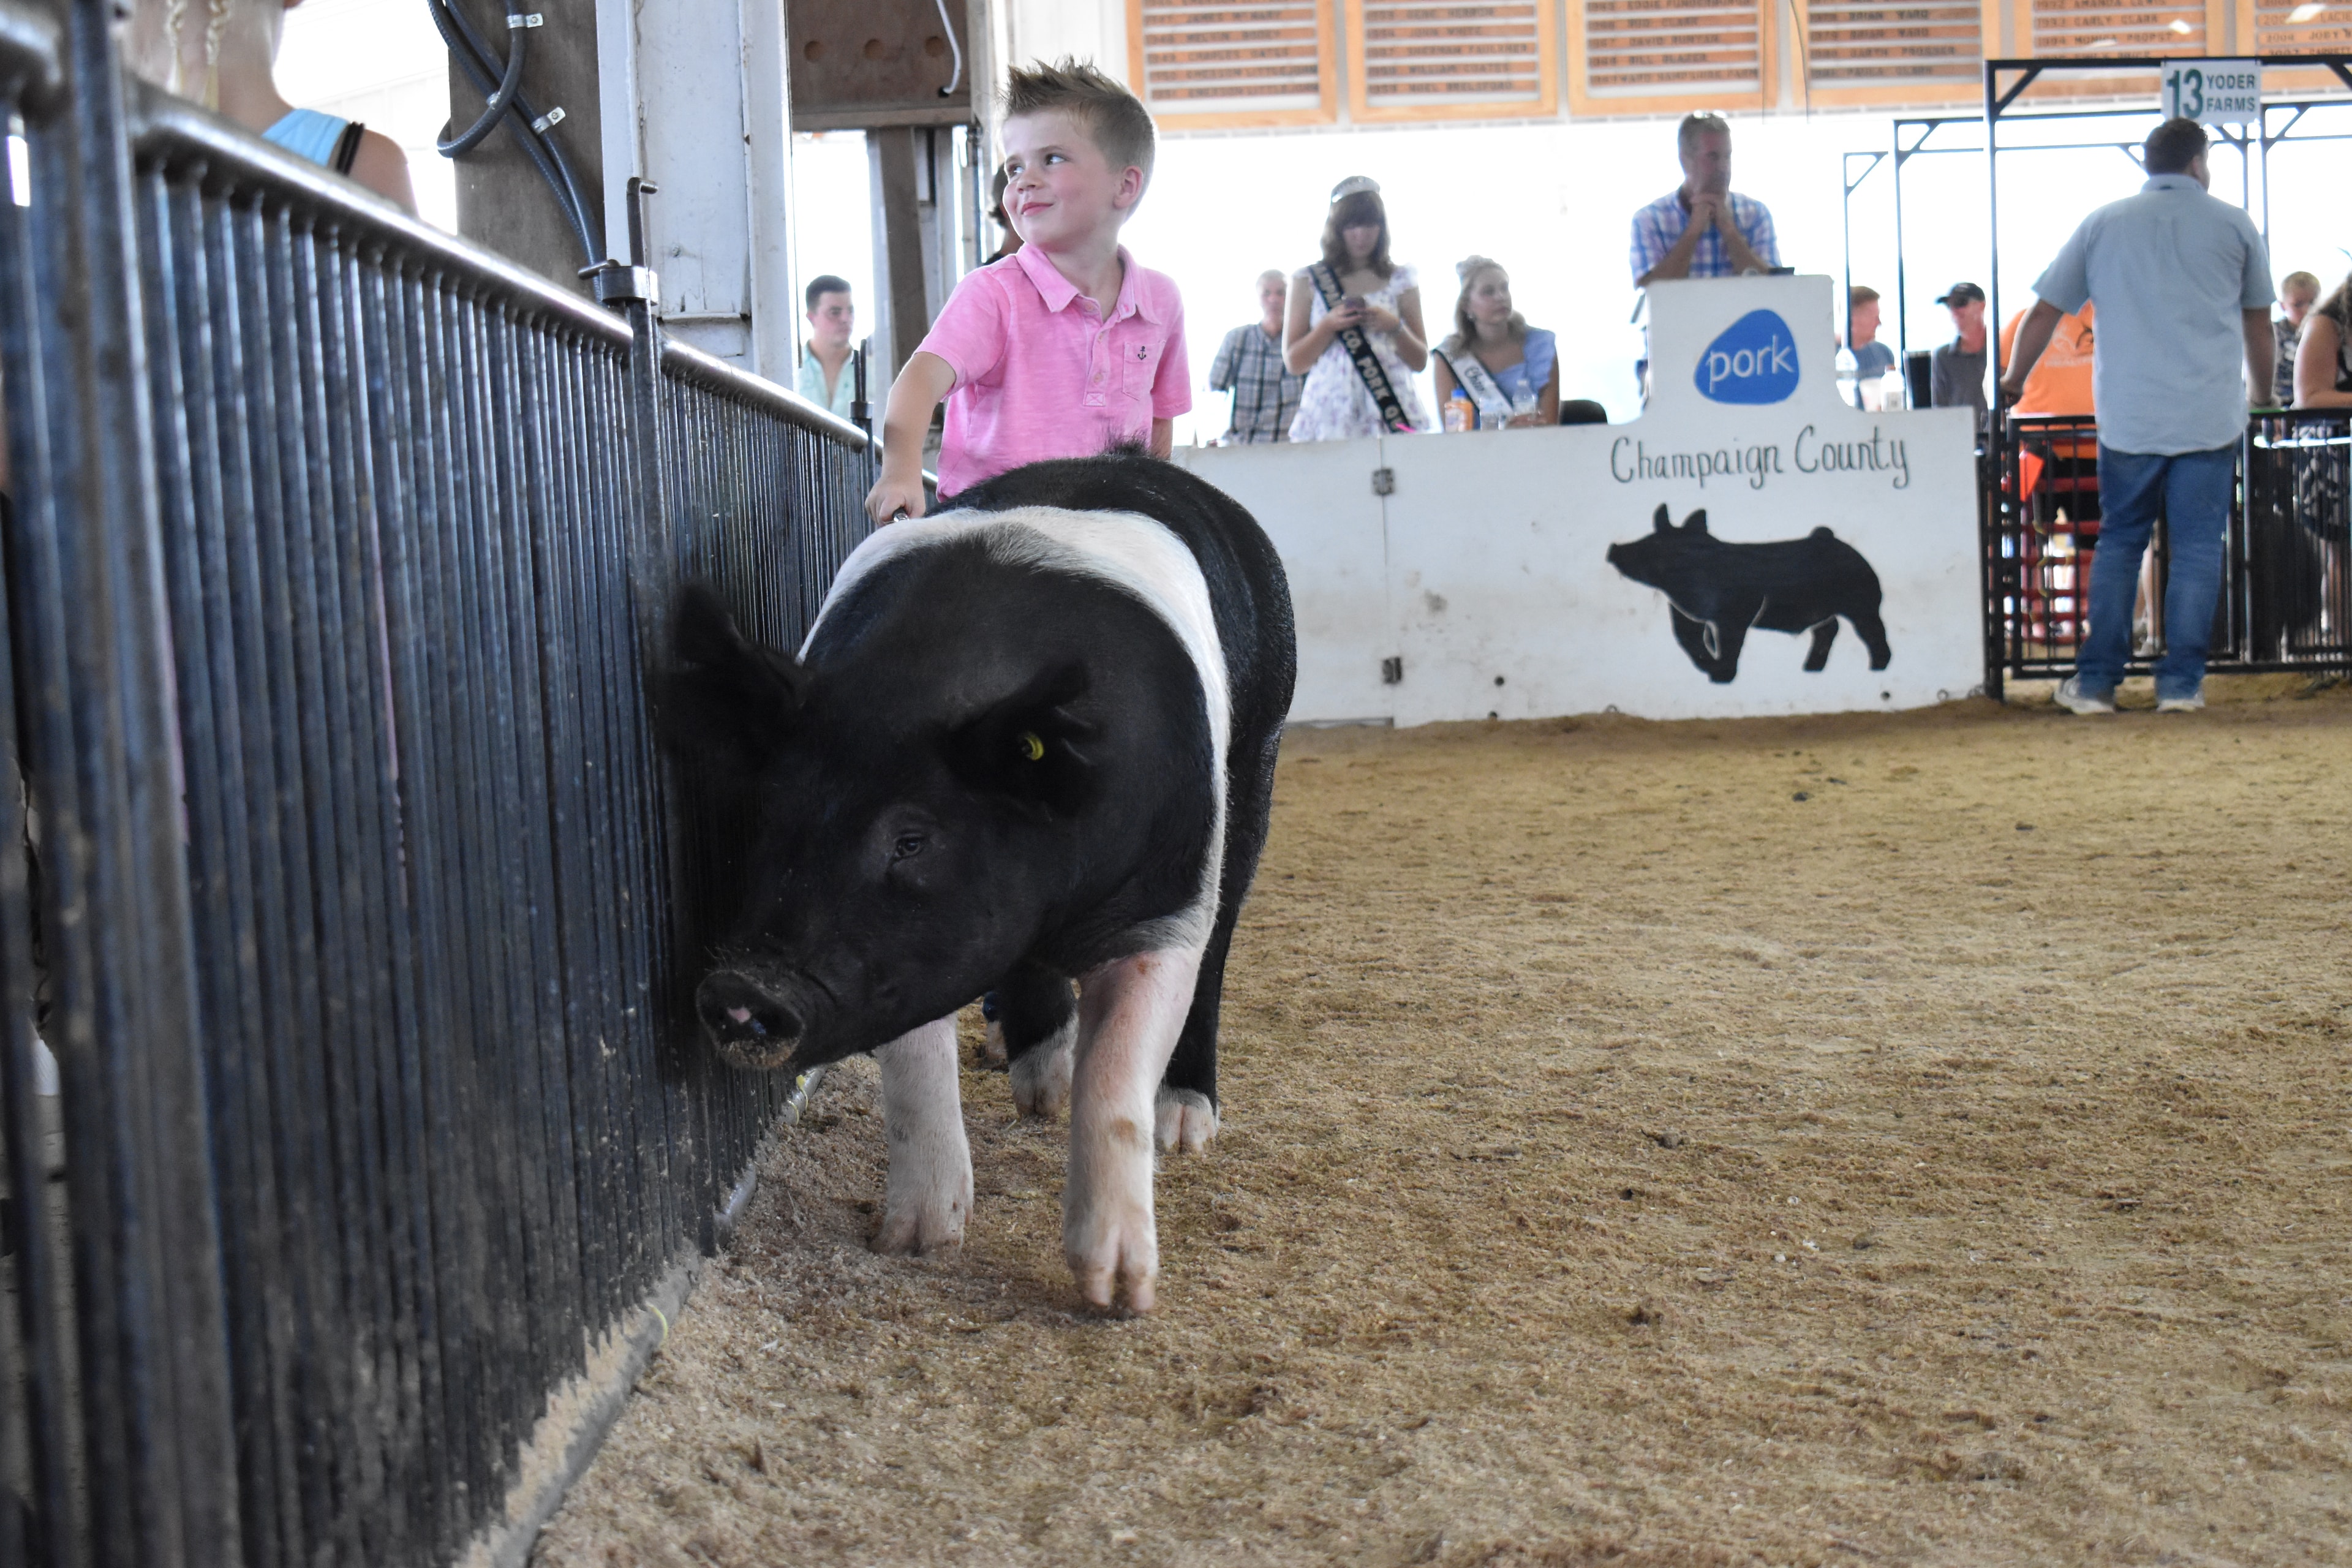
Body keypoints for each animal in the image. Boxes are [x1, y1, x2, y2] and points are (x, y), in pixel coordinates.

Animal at [655, 452, 1295, 1314]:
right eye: (768, 810)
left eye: (912, 838)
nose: (740, 989)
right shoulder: (898, 962)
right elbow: (914, 1063)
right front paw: (914, 1241)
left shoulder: (1164, 906)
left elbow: (1116, 1073)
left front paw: (1117, 1293)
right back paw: (1038, 1088)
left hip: (1257, 764)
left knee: (1219, 949)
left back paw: (1182, 1124)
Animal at [1606, 504, 1891, 683]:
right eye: (1648, 538)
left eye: (1656, 545)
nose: (1614, 547)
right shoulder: (1685, 616)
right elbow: (1692, 643)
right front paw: (1713, 672)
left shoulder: (1736, 613)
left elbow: (1730, 645)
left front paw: (1722, 678)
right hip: (1823, 609)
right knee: (1829, 630)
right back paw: (1811, 670)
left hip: (1863, 604)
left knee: (1872, 632)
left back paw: (1877, 668)